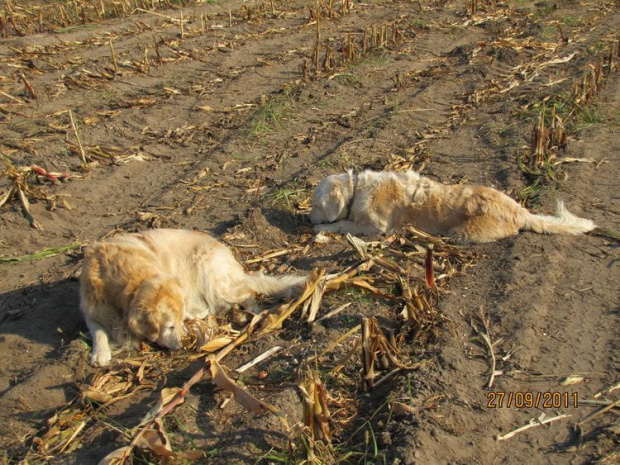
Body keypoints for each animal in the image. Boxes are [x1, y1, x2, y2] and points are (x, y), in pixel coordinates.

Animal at [80, 228, 308, 366]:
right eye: (170, 326)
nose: (183, 342)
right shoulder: (92, 311)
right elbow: (98, 331)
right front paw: (100, 353)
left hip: (211, 274)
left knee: (249, 291)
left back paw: (253, 314)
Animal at [310, 169, 596, 243]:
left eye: (314, 205)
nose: (307, 219)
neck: (356, 189)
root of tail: (520, 211)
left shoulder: (376, 227)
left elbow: (345, 224)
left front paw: (321, 229)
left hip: (462, 232)